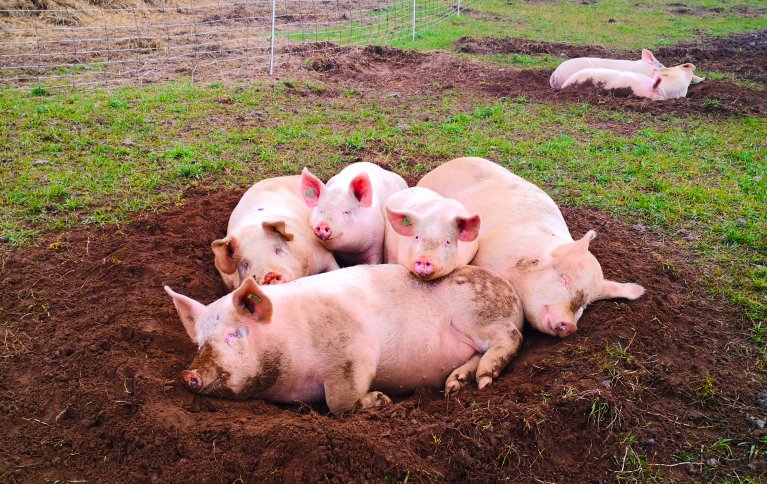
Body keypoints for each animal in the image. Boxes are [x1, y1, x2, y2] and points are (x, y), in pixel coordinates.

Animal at [166, 262, 528, 414]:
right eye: (200, 343)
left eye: (233, 334)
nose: (188, 373)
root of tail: (510, 290)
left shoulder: (353, 350)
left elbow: (338, 403)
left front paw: (383, 401)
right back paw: (455, 385)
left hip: (478, 316)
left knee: (511, 337)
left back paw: (484, 379)